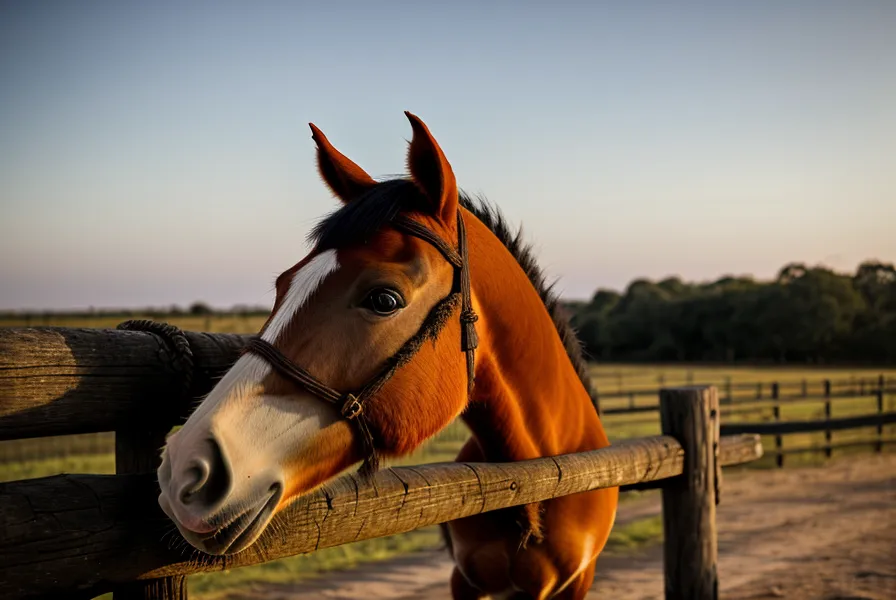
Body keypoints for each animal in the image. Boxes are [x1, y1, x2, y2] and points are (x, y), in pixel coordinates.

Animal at [156, 112, 618, 599]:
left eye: (384, 299)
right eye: (284, 284)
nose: (187, 468)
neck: (542, 480)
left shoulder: (575, 583)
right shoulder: (464, 579)